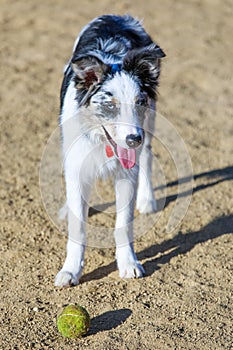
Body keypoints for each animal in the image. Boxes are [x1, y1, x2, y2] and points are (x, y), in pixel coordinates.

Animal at [54, 14, 165, 288]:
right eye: (110, 105)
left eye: (139, 101)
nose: (133, 139)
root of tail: (119, 16)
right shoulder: (77, 168)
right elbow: (78, 225)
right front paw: (71, 270)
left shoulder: (127, 175)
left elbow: (123, 224)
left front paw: (129, 264)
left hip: (150, 124)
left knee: (147, 155)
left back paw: (147, 199)